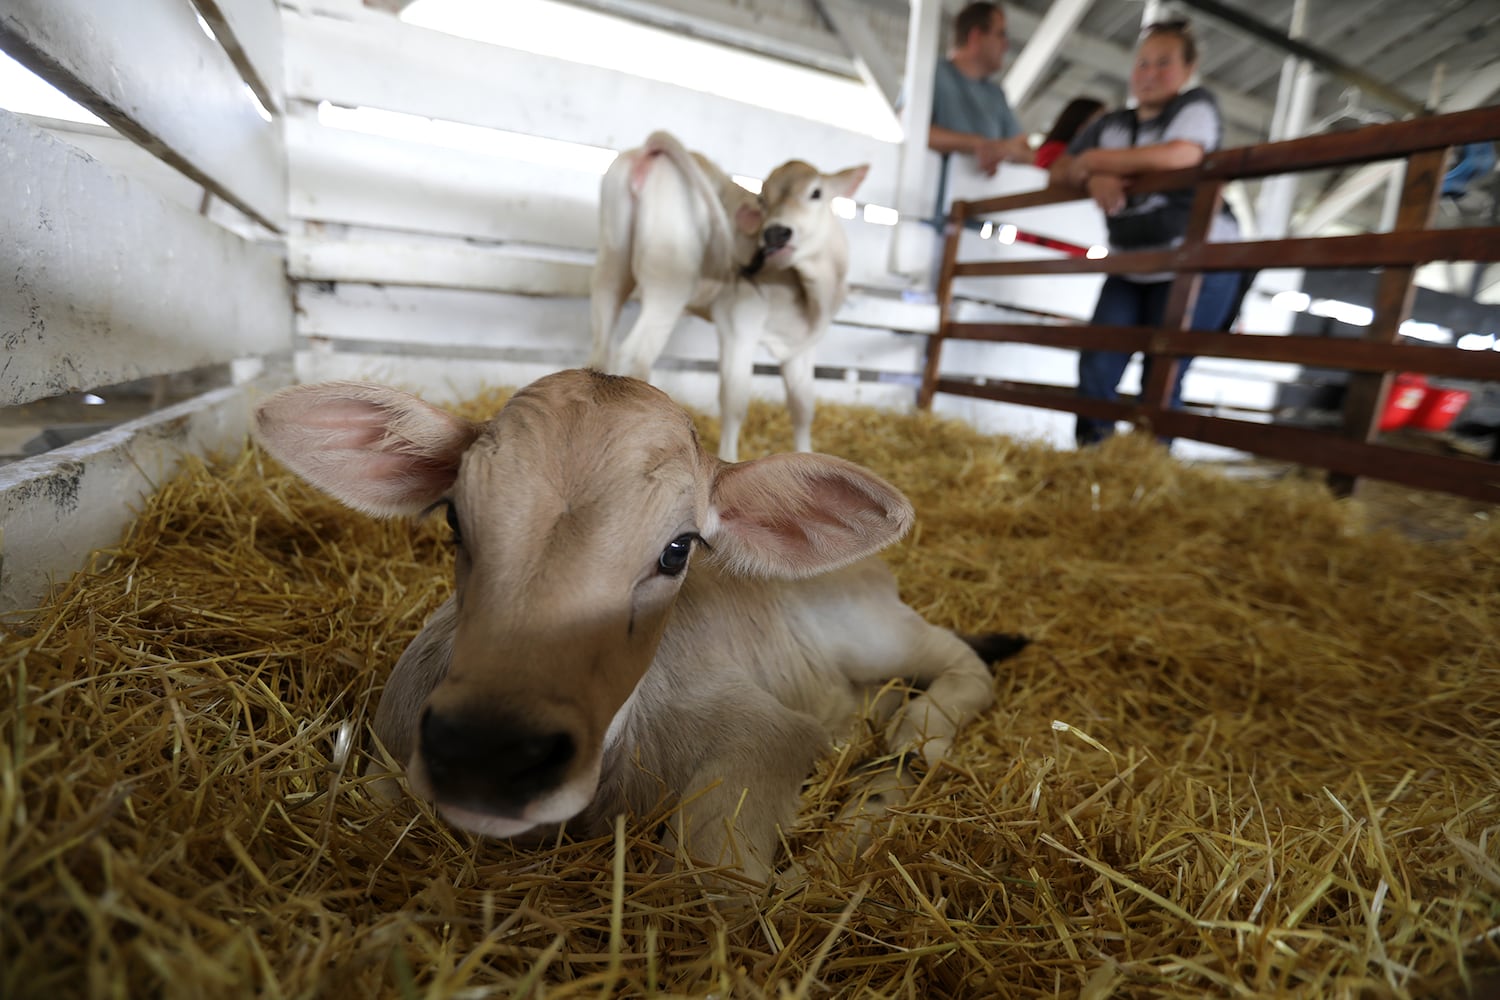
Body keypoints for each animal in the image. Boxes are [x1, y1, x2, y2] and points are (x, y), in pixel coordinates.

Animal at [261, 371, 1032, 881]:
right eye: (454, 517)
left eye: (679, 548)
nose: (489, 753)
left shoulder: (770, 733)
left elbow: (714, 875)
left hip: (871, 626)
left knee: (965, 663)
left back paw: (910, 742)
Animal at [588, 127, 870, 464]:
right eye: (762, 200)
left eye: (816, 192)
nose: (775, 233)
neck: (811, 296)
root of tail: (650, 151)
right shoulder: (739, 319)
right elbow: (734, 401)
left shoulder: (803, 345)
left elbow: (802, 406)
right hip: (669, 283)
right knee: (633, 358)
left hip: (610, 266)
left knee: (601, 353)